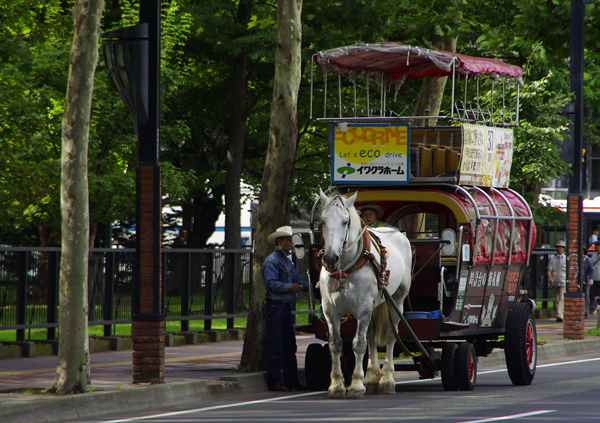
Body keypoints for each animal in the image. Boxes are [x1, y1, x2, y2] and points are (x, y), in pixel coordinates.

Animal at [318, 190, 412, 400]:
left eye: (345, 221)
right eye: (323, 220)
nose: (330, 258)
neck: (345, 268)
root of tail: (398, 233)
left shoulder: (362, 308)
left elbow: (358, 344)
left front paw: (355, 385)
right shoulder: (330, 311)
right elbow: (335, 344)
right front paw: (336, 385)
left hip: (397, 299)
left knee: (390, 336)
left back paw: (387, 379)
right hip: (373, 305)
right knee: (371, 336)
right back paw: (372, 376)